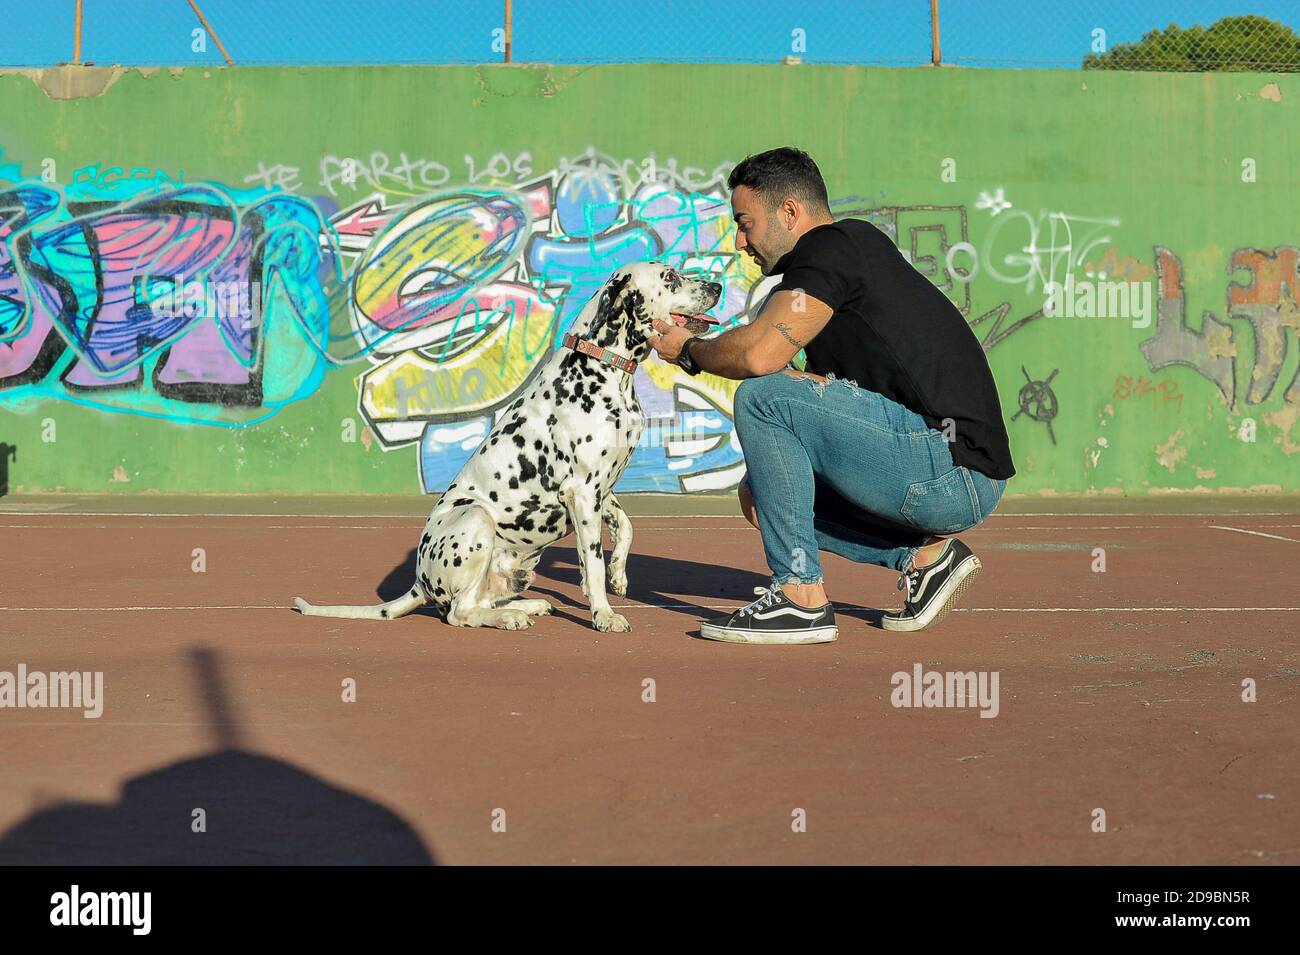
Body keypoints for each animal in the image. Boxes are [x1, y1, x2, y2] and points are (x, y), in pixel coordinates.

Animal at [295, 265, 722, 631]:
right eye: (669, 277)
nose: (717, 286)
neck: (604, 368)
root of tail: (418, 582)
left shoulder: (603, 489)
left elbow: (624, 531)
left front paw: (618, 573)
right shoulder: (583, 492)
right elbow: (593, 561)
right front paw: (604, 614)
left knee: (477, 603)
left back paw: (527, 606)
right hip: (475, 519)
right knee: (460, 613)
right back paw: (509, 617)